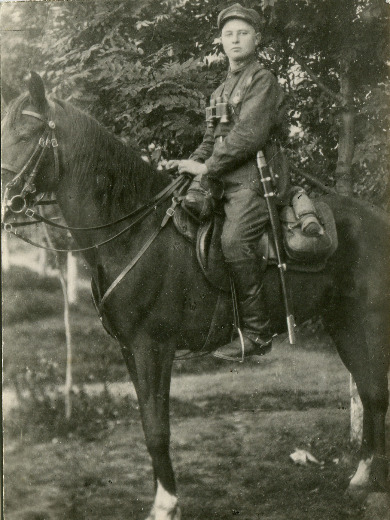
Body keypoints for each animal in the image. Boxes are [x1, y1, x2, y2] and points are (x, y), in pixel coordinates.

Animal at [3, 74, 390, 520]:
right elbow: (147, 422)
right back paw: (361, 478)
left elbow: (158, 429)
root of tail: (378, 220)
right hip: (343, 323)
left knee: (377, 393)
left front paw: (166, 505)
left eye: (25, 134)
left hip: (369, 322)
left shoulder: (153, 347)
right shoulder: (129, 349)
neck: (133, 231)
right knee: (370, 394)